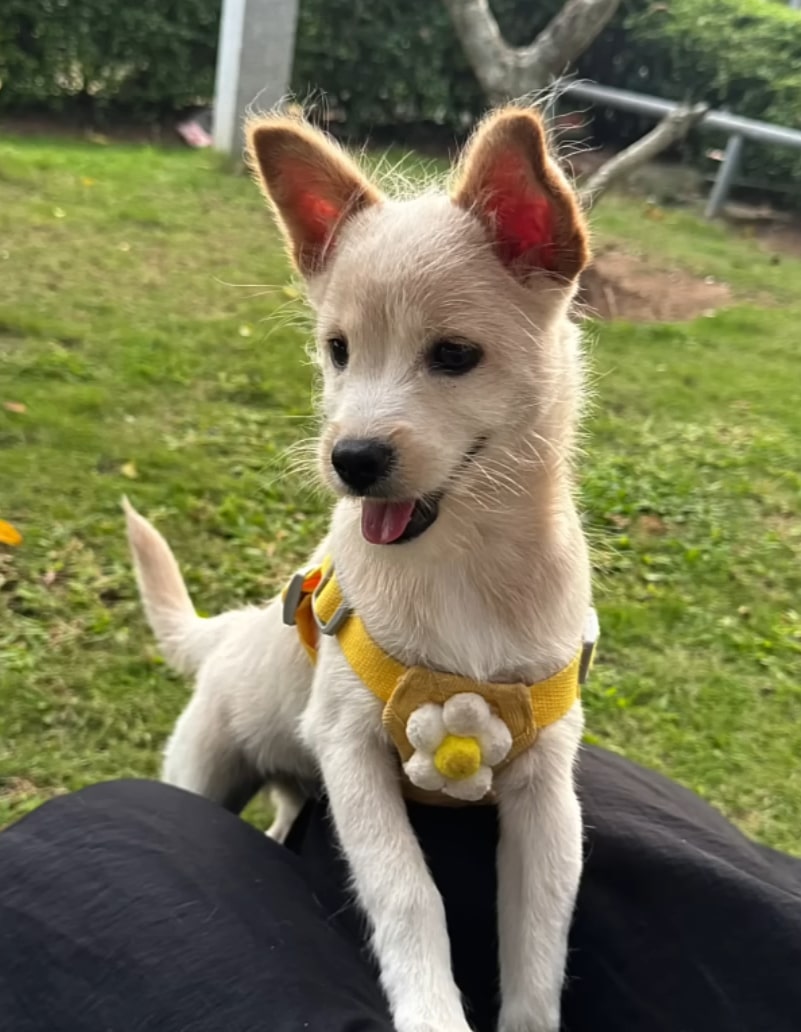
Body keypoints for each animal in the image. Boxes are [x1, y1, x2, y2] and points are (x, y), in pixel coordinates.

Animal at [124, 110, 598, 1032]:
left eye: (453, 355)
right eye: (337, 350)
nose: (350, 460)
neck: (462, 571)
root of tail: (230, 631)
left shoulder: (545, 791)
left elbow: (541, 938)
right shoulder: (351, 755)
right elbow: (407, 892)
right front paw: (431, 1011)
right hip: (207, 766)